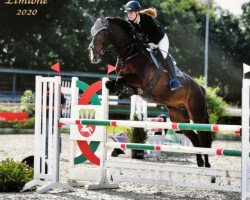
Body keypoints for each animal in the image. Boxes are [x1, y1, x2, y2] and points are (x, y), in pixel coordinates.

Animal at [89, 15, 212, 167]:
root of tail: (200, 88)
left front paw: (124, 89)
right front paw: (123, 91)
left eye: (101, 34)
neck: (129, 54)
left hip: (196, 113)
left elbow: (119, 80)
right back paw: (200, 162)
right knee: (194, 138)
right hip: (179, 117)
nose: (93, 56)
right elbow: (110, 83)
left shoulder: (142, 80)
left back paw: (206, 163)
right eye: (92, 32)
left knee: (203, 136)